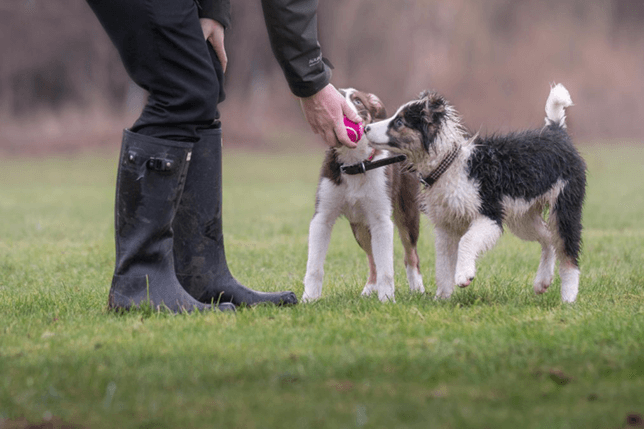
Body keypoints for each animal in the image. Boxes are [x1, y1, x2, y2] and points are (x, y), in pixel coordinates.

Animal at [304, 88, 426, 300]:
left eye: (358, 101)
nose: (340, 113)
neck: (354, 162)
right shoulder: (322, 217)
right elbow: (314, 266)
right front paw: (308, 299)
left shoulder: (381, 220)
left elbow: (386, 268)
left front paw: (387, 300)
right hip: (359, 226)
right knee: (372, 258)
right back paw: (370, 288)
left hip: (407, 211)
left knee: (411, 254)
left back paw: (417, 287)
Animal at [364, 85, 588, 302]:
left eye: (399, 122)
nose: (365, 128)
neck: (447, 165)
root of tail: (557, 132)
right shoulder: (447, 226)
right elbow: (442, 265)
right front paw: (441, 298)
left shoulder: (489, 214)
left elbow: (467, 240)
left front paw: (464, 275)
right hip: (523, 216)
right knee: (549, 238)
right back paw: (543, 281)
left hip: (564, 206)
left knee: (568, 253)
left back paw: (568, 298)